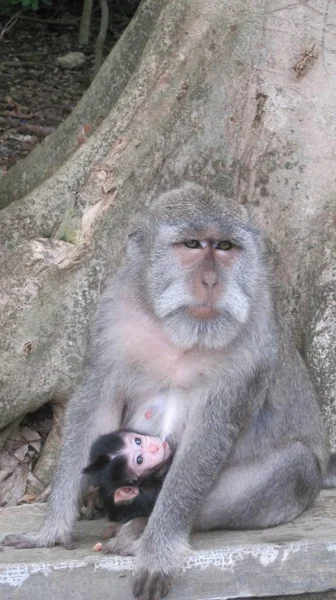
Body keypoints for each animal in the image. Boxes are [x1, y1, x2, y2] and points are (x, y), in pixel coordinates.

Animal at [1, 184, 328, 600]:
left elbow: (210, 434)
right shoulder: (112, 317)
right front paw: (53, 530)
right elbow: (96, 408)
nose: (211, 281)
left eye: (225, 246)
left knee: (294, 466)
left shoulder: (253, 347)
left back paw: (138, 529)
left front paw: (157, 552)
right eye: (192, 244)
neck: (179, 333)